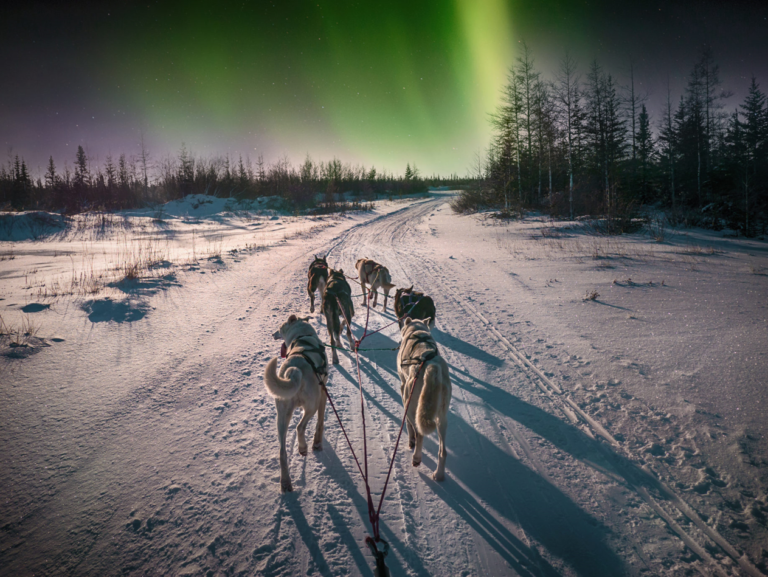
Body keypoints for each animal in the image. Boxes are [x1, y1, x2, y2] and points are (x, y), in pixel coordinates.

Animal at [262, 316, 328, 490]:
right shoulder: (323, 393)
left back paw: (285, 483)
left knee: (282, 452)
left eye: (280, 328)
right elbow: (320, 422)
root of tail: (293, 371)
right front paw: (317, 443)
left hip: (281, 416)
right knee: (300, 427)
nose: (273, 334)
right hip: (311, 405)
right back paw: (303, 448)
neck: (302, 337)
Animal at [396, 318, 450, 480]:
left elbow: (408, 426)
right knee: (443, 452)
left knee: (419, 433)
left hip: (412, 405)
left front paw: (411, 440)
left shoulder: (403, 388)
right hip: (441, 418)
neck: (417, 330)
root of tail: (431, 366)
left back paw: (416, 457)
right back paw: (439, 474)